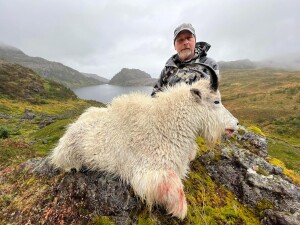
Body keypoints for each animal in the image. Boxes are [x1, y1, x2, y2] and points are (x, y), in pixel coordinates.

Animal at [49, 69, 239, 220]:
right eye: (216, 101)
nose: (236, 124)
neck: (165, 126)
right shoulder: (145, 173)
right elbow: (172, 185)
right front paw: (179, 210)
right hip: (69, 154)